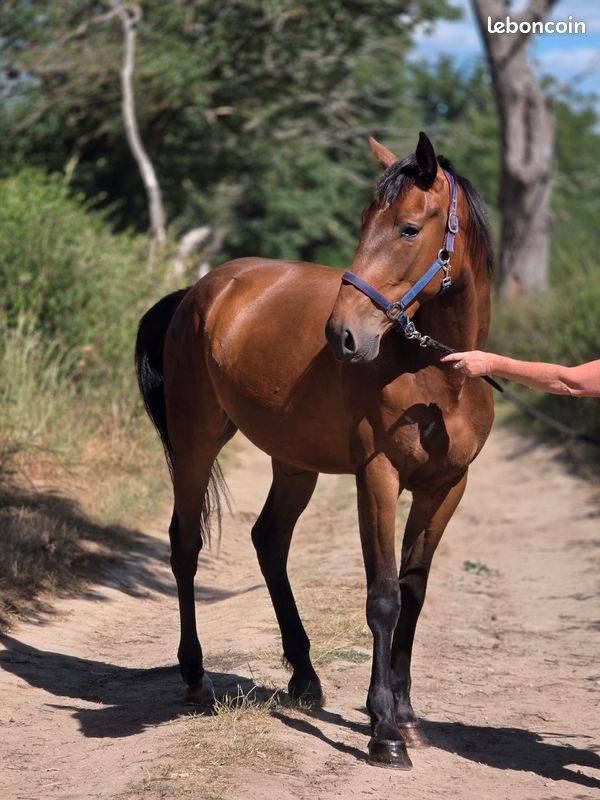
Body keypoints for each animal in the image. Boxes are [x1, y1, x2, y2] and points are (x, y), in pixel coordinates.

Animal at [135, 132, 494, 768]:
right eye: (363, 222)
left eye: (408, 228)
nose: (343, 335)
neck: (441, 376)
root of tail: (199, 292)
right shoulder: (376, 478)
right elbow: (382, 597)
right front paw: (384, 732)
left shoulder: (446, 487)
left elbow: (413, 592)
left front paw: (405, 715)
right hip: (197, 441)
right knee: (186, 544)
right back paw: (196, 675)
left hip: (294, 463)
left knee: (269, 541)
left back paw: (303, 676)